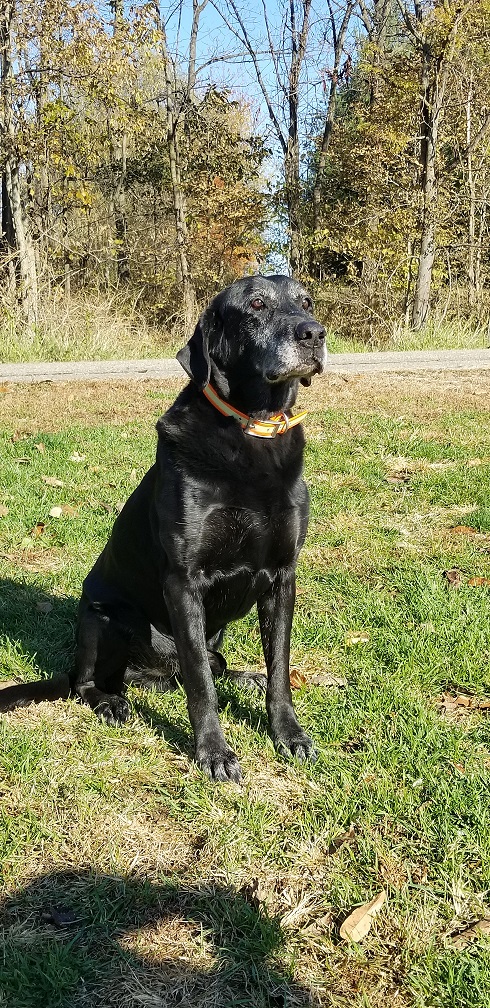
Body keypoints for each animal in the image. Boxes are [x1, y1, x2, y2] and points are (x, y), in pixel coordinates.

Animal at [0, 274, 328, 778]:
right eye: (256, 305)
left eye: (306, 301)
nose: (314, 333)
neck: (252, 430)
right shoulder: (183, 582)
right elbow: (200, 685)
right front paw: (213, 753)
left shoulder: (282, 577)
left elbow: (279, 669)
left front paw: (288, 734)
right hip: (102, 617)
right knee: (89, 681)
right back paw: (110, 702)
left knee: (212, 665)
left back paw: (241, 676)